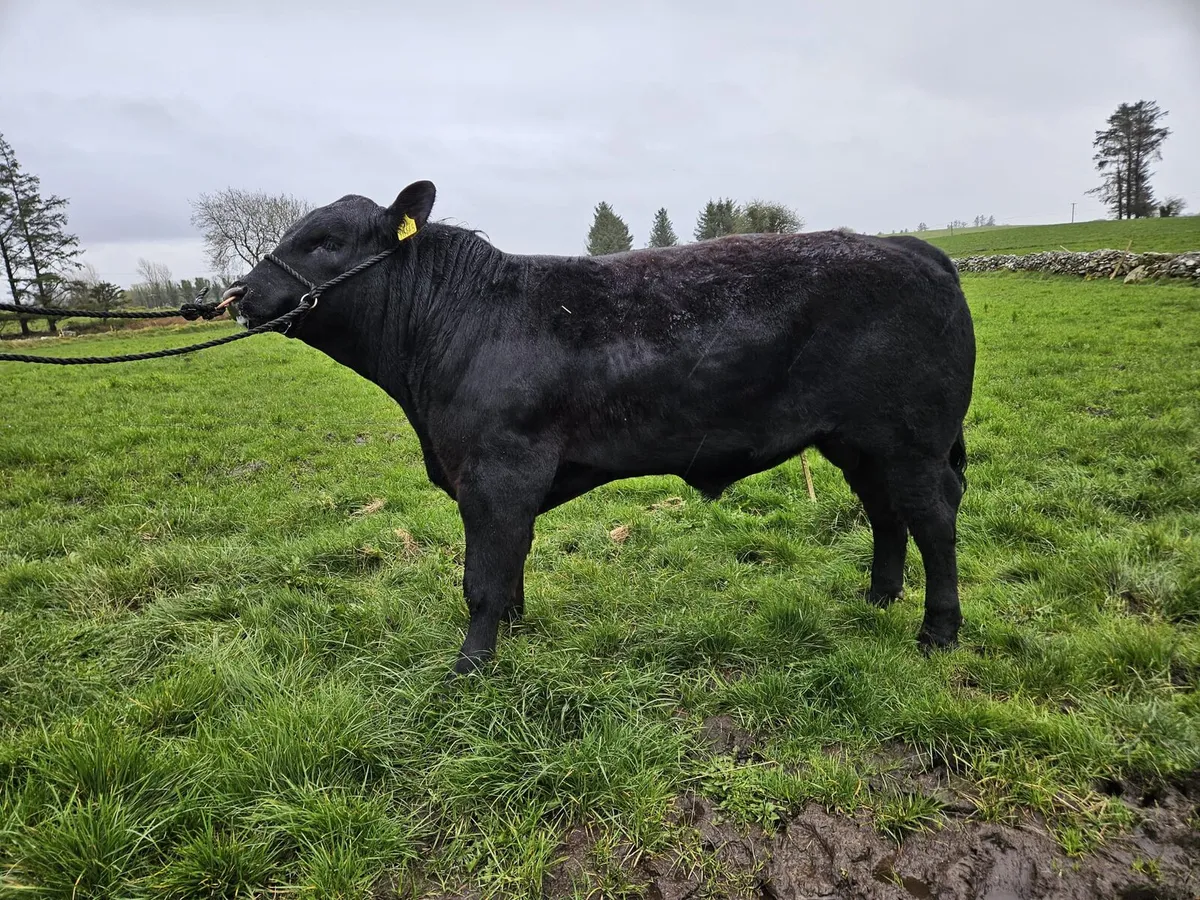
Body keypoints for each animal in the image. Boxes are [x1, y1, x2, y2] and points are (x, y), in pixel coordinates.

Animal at [222, 181, 976, 675]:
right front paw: (513, 627)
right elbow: (510, 560)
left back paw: (938, 631)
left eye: (325, 241)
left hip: (912, 442)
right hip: (859, 443)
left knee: (934, 520)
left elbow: (482, 575)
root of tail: (914, 249)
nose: (240, 294)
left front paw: (470, 669)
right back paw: (878, 597)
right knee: (886, 515)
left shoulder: (498, 468)